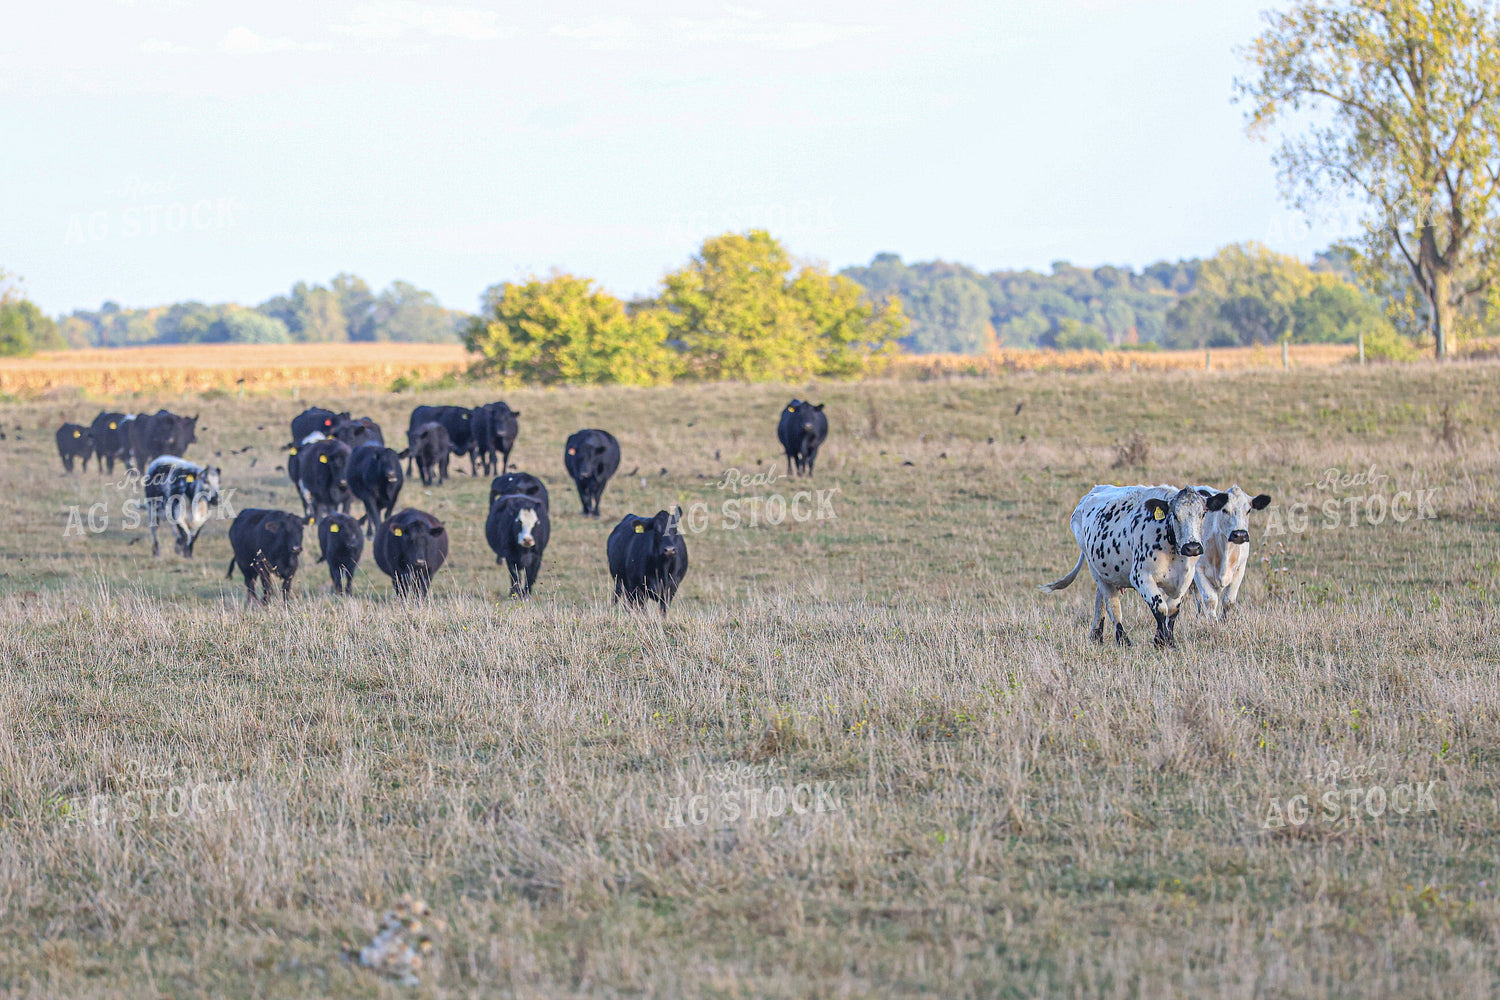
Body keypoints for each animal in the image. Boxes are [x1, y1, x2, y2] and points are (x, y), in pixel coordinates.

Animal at [1039, 484, 1229, 649]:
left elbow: (1173, 611)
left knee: (1100, 601)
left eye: (1203, 513)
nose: (1192, 547)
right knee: (1112, 605)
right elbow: (1160, 608)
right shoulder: (1141, 576)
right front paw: (1161, 642)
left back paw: (1096, 636)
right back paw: (1123, 640)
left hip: (1105, 570)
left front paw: (1169, 641)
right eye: (1174, 514)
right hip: (1096, 570)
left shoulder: (1185, 579)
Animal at [1188, 484, 1272, 620]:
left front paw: (1225, 620)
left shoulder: (1240, 569)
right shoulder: (1198, 569)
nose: (1240, 534)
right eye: (1224, 510)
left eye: (1248, 510)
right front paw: (1213, 622)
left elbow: (1228, 601)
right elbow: (1210, 599)